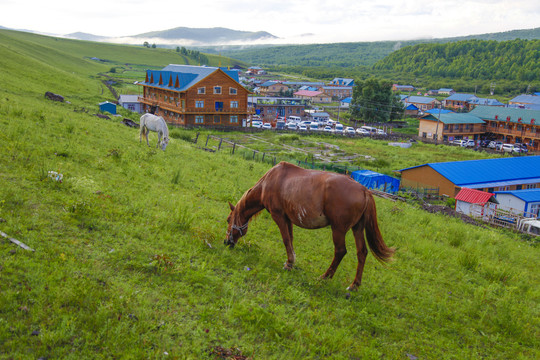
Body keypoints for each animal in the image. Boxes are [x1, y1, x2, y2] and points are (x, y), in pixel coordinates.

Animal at [226, 162, 394, 292]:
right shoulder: (288, 218)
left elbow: (286, 239)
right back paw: (354, 285)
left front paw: (289, 263)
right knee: (362, 253)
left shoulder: (278, 216)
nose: (226, 242)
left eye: (228, 220)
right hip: (357, 228)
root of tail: (364, 190)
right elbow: (290, 239)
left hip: (338, 229)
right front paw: (290, 262)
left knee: (340, 251)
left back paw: (325, 276)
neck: (269, 181)